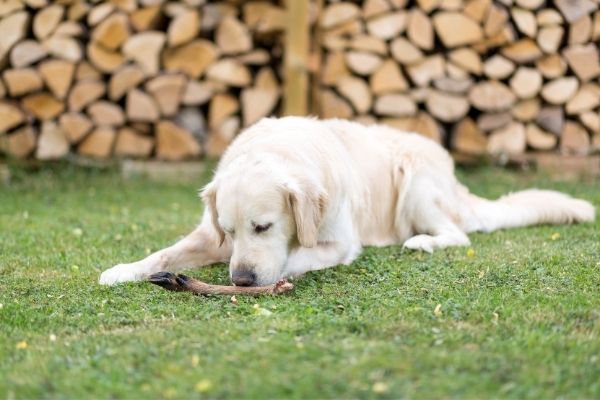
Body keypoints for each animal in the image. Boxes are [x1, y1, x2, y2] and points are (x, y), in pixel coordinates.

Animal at [99, 117, 596, 286]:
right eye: (231, 229)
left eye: (264, 227)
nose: (240, 280)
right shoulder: (209, 235)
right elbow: (165, 252)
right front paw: (123, 270)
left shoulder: (338, 242)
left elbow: (298, 256)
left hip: (416, 181)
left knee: (456, 234)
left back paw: (421, 243)